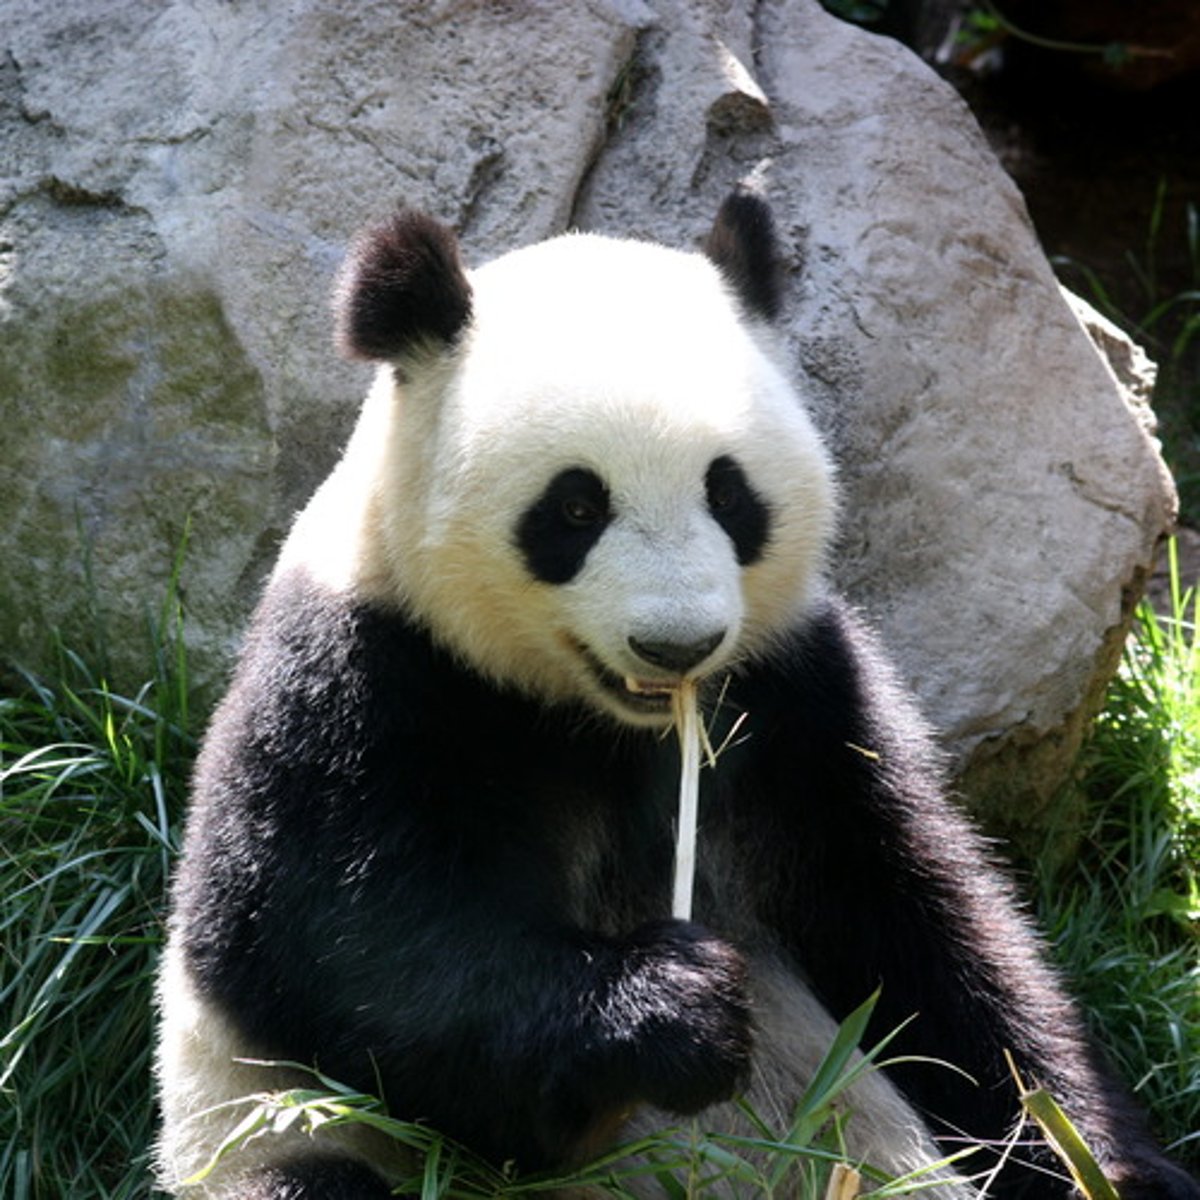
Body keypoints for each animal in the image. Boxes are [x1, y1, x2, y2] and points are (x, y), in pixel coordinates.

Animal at [156, 190, 1199, 1200]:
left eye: (730, 495)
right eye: (576, 507)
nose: (678, 642)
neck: (605, 721)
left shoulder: (801, 696)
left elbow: (925, 942)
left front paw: (1099, 1161)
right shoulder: (367, 681)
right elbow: (330, 948)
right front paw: (673, 1010)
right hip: (275, 1139)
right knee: (312, 1173)